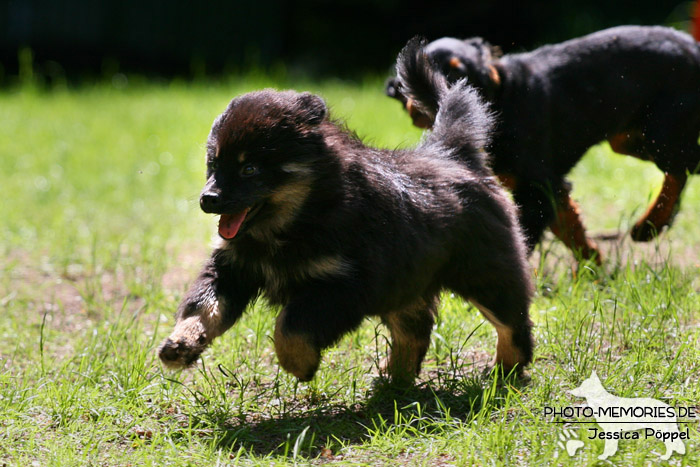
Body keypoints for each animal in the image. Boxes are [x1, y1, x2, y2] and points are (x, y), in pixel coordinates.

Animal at [156, 78, 532, 384]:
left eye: (249, 169)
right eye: (213, 164)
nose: (208, 199)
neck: (295, 222)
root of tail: (455, 154)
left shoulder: (346, 285)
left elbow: (290, 326)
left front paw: (299, 365)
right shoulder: (233, 267)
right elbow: (203, 306)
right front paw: (181, 343)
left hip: (484, 272)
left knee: (512, 322)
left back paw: (505, 370)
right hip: (404, 281)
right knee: (415, 328)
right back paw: (394, 379)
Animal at [386, 27, 700, 264]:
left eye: (457, 72)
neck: (502, 99)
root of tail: (693, 47)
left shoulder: (536, 185)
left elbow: (527, 238)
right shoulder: (548, 185)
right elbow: (571, 228)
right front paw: (594, 272)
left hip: (660, 130)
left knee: (681, 167)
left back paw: (650, 225)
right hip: (629, 139)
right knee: (688, 163)